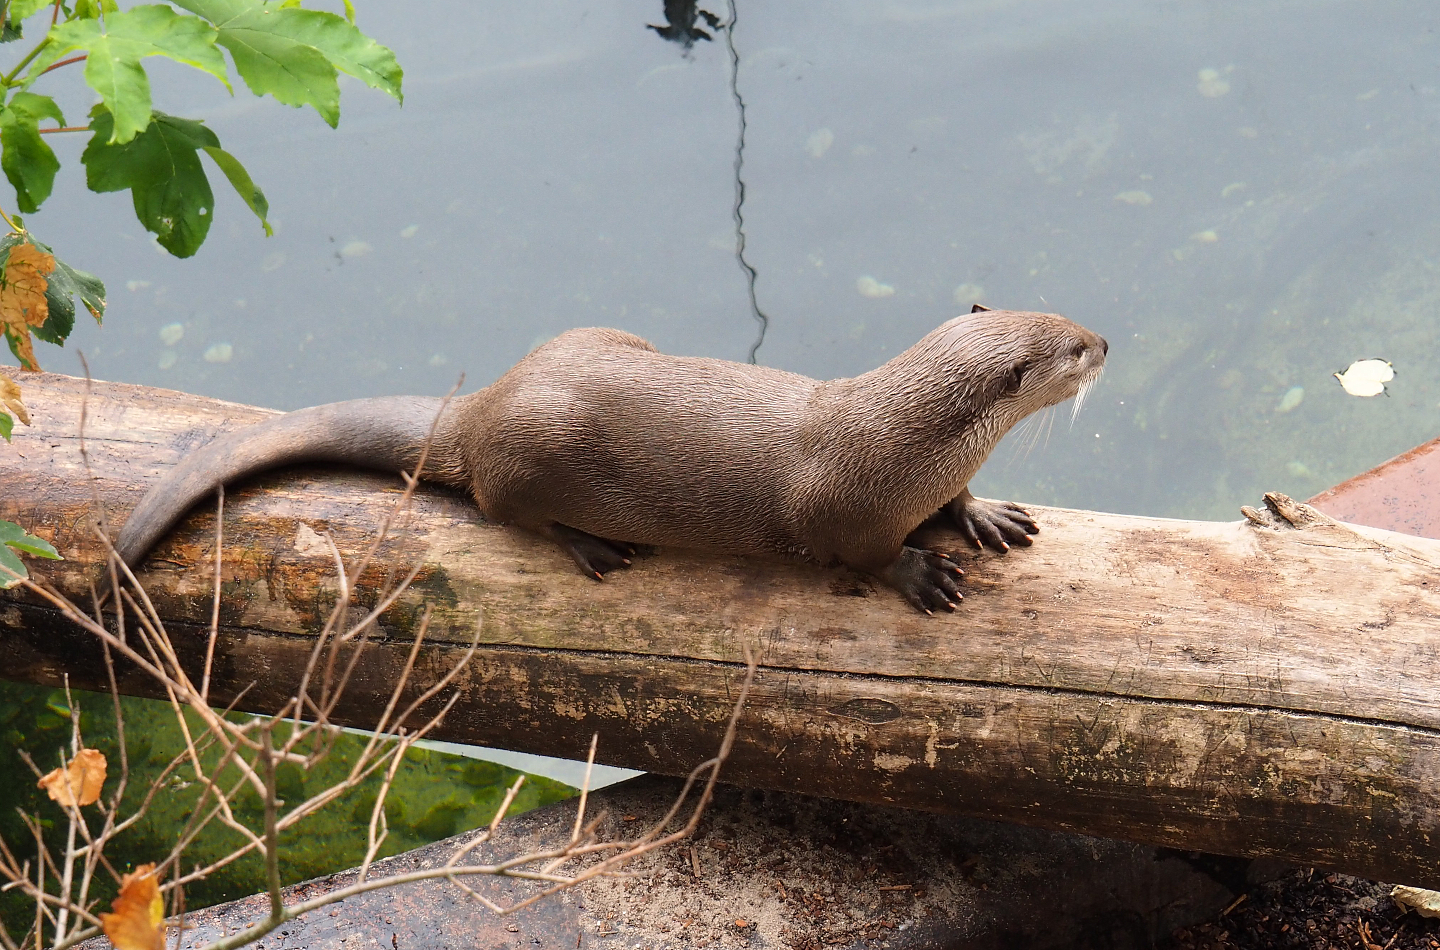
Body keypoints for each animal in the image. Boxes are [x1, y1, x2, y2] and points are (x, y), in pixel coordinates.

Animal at [114, 307, 1106, 613]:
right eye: (1069, 350)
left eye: (1064, 318)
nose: (1105, 340)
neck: (901, 442)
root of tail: (487, 404)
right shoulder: (844, 511)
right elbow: (863, 555)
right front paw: (918, 572)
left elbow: (957, 500)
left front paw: (983, 514)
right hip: (527, 461)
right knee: (504, 511)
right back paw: (595, 548)